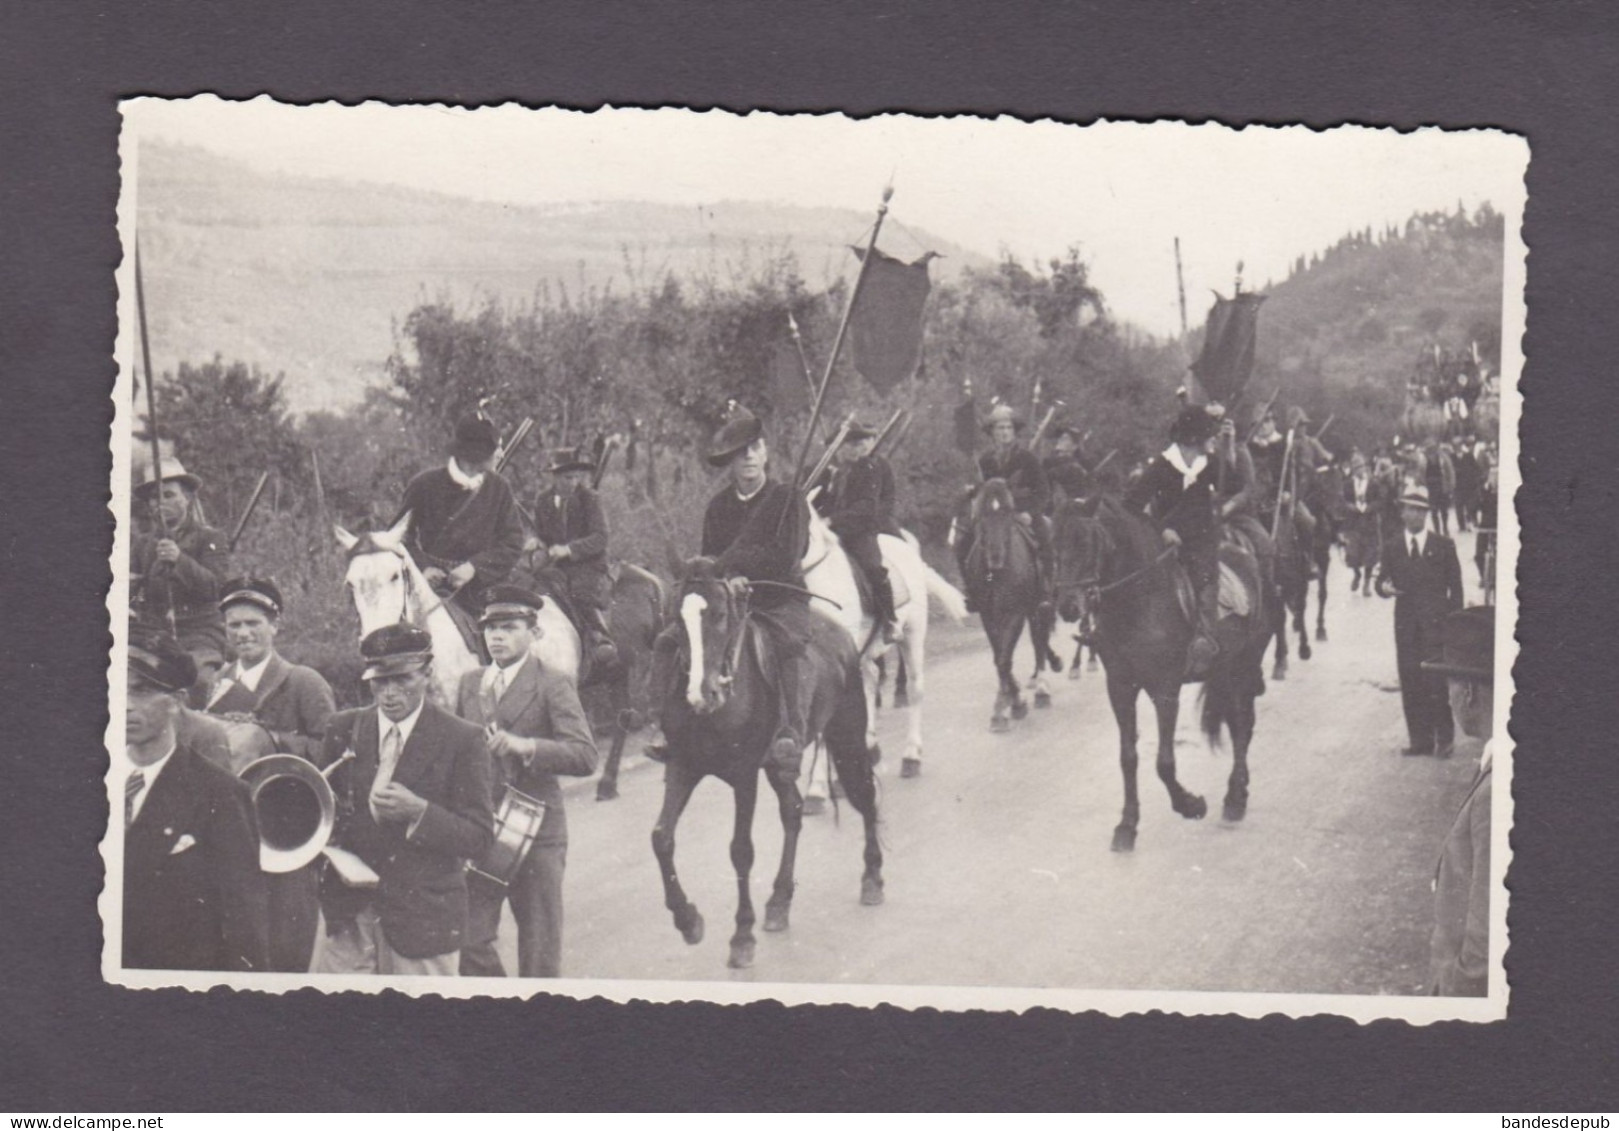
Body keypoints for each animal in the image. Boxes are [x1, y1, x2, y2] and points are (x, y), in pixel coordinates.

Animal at [647, 563, 887, 970]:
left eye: (719, 615)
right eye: (677, 621)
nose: (701, 694)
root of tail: (840, 633)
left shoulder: (744, 775)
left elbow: (741, 851)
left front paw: (742, 936)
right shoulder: (682, 765)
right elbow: (662, 838)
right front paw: (687, 920)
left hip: (848, 738)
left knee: (865, 796)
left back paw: (872, 876)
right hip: (779, 765)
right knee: (793, 811)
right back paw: (779, 900)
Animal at [803, 504, 964, 779]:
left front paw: (819, 784)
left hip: (912, 635)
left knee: (914, 689)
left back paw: (911, 756)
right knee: (871, 679)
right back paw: (871, 748)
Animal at [951, 478, 1055, 734]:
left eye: (1008, 513)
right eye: (980, 515)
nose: (995, 558)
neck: (995, 574)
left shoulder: (1014, 613)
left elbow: (1004, 659)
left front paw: (1008, 705)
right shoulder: (988, 615)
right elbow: (1000, 657)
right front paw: (1008, 701)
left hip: (1038, 606)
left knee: (1039, 640)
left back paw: (1042, 689)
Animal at [1049, 498, 1275, 854]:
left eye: (1087, 543)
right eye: (1053, 543)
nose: (1068, 606)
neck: (1137, 601)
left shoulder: (1165, 689)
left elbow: (1164, 762)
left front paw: (1191, 804)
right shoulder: (1120, 688)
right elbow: (1128, 757)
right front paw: (1127, 825)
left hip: (1245, 664)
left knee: (1243, 724)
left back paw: (1235, 797)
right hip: (1225, 670)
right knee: (1238, 722)